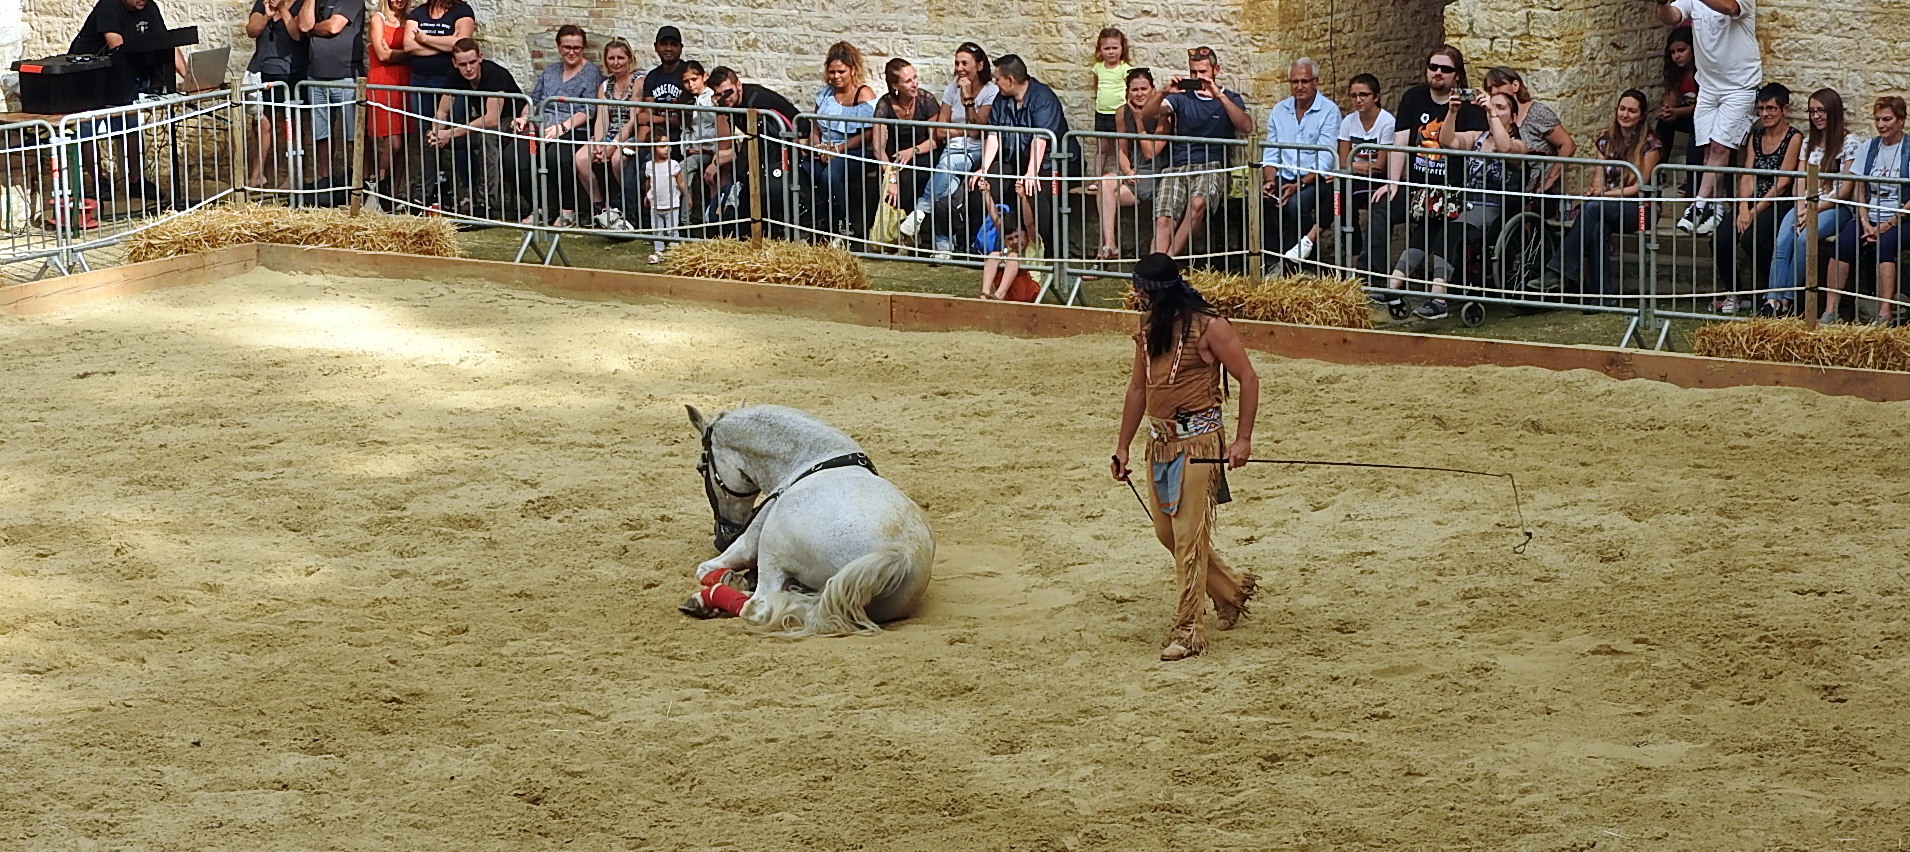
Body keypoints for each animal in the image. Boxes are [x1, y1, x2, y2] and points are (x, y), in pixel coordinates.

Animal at [686, 404, 934, 636]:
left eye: (700, 468)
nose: (721, 540)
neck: (813, 459)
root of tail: (901, 555)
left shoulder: (748, 543)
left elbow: (706, 569)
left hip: (770, 548)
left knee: (759, 607)